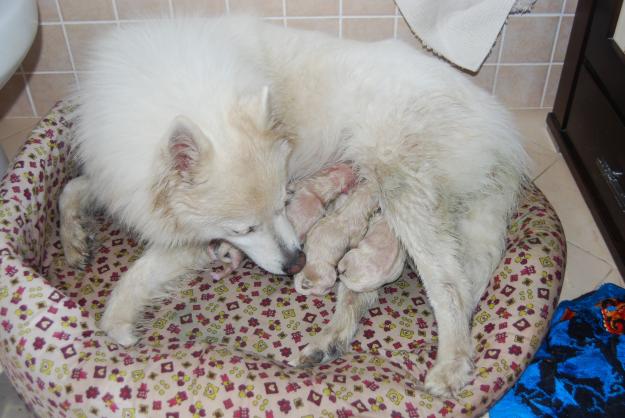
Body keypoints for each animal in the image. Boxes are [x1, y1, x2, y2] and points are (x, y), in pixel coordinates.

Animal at [61, 15, 528, 396]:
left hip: (402, 189)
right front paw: (75, 240)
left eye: (282, 201)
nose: (296, 264)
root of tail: (500, 129)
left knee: (449, 285)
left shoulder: (192, 235)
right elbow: (72, 188)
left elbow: (138, 273)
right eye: (245, 228)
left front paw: (114, 325)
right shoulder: (115, 179)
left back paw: (450, 365)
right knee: (363, 292)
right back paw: (329, 341)